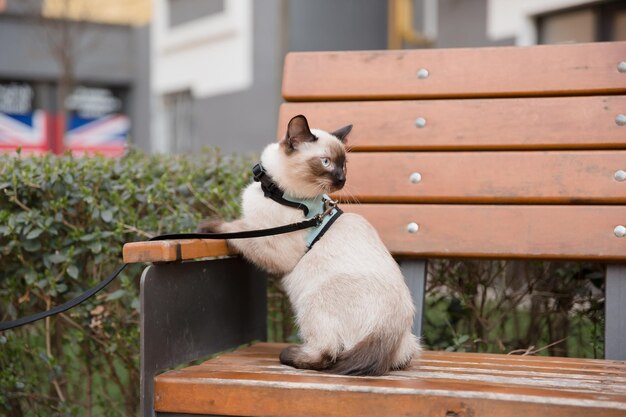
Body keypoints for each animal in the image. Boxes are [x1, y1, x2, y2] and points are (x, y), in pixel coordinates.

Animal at [200, 115, 420, 376]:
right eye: (327, 162)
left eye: (344, 165)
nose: (342, 179)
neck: (280, 194)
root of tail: (388, 329)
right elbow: (238, 225)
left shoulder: (267, 241)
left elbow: (236, 230)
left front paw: (207, 227)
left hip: (310, 301)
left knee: (327, 355)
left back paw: (289, 355)